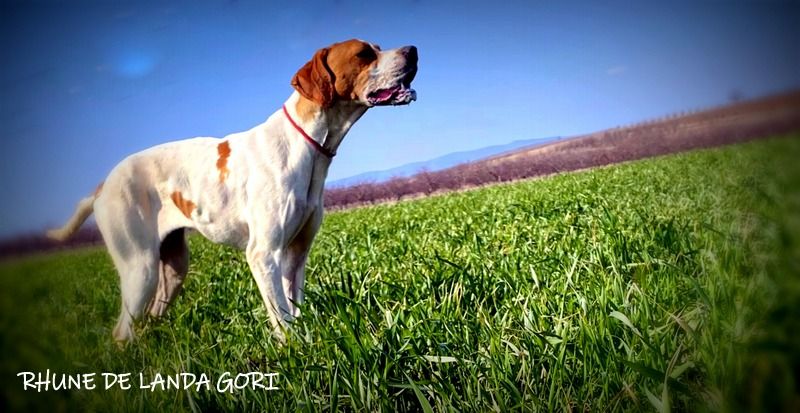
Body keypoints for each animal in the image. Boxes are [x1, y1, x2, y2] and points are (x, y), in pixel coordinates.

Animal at [47, 39, 418, 342]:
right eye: (364, 54)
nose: (413, 50)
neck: (305, 143)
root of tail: (103, 185)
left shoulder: (295, 255)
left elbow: (294, 310)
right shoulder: (263, 254)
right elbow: (283, 320)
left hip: (173, 269)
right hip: (141, 268)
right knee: (122, 333)